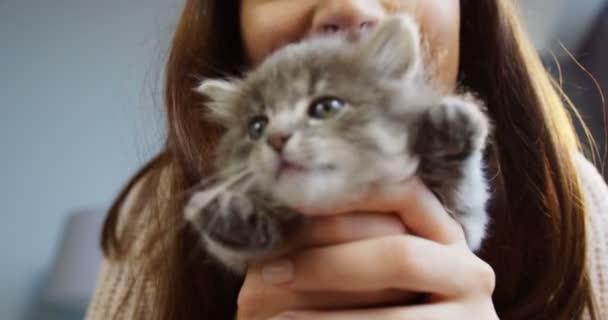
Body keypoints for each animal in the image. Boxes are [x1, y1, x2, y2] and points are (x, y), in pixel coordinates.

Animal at [184, 15, 490, 274]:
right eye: (257, 127)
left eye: (326, 107)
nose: (276, 137)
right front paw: (227, 214)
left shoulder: (462, 232)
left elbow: (464, 198)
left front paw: (450, 128)